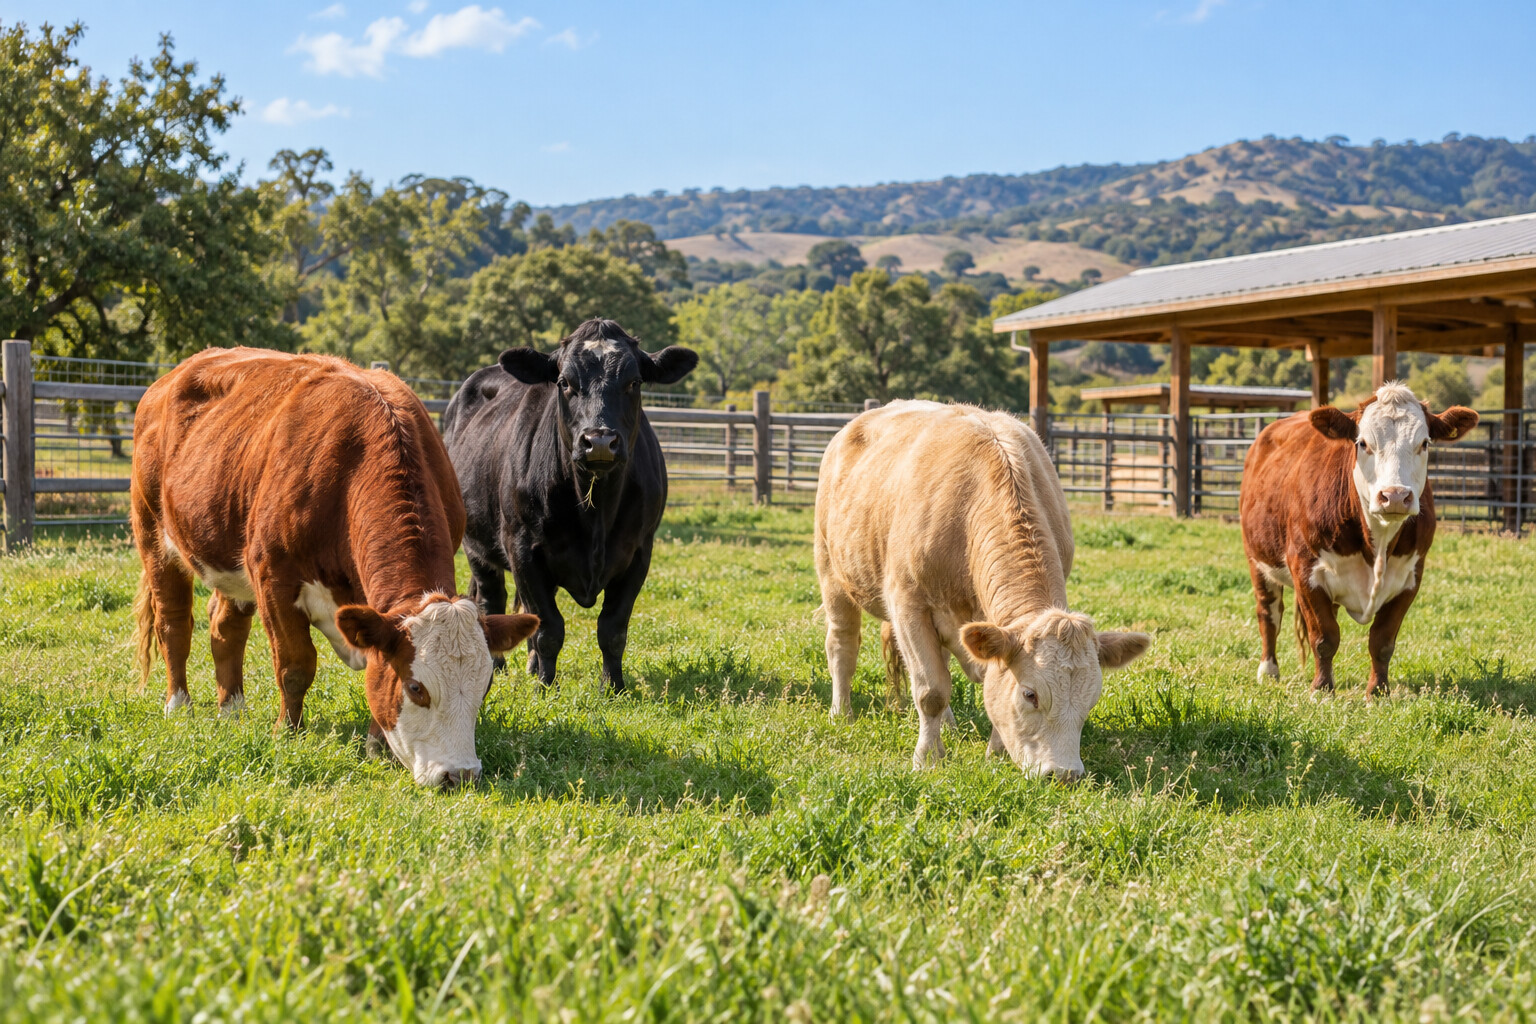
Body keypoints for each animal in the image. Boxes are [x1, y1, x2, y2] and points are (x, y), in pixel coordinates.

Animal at [130, 348, 539, 788]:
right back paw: (179, 706)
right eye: (416, 688)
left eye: (485, 685)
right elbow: (295, 665)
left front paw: (376, 746)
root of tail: (170, 378)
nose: (459, 774)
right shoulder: (273, 577)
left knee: (226, 628)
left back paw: (233, 709)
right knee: (173, 624)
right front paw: (287, 732)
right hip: (153, 535)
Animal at [441, 318, 698, 691]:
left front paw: (613, 686)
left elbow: (612, 629)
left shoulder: (639, 551)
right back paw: (497, 666)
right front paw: (546, 687)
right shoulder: (522, 548)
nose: (600, 441)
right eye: (565, 382)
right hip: (475, 544)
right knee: (491, 601)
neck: (596, 513)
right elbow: (549, 628)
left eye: (634, 382)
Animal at [814, 401, 1152, 779]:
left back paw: (948, 726)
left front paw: (997, 755)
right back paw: (841, 713)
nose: (1064, 775)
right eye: (1030, 694)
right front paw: (927, 758)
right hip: (831, 572)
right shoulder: (908, 606)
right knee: (842, 645)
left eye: (1092, 698)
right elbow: (931, 690)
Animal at [1239, 381, 1479, 696]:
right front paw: (1322, 689)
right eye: (1363, 443)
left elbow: (1382, 641)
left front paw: (1377, 692)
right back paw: (1268, 671)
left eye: (1424, 443)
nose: (1395, 496)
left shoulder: (1410, 577)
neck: (1376, 544)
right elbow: (1324, 637)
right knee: (1269, 613)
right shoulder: (1305, 570)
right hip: (1257, 560)